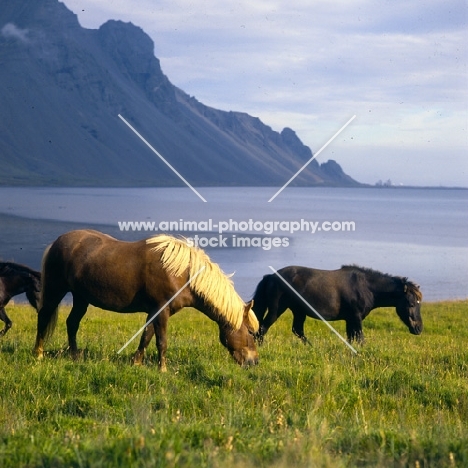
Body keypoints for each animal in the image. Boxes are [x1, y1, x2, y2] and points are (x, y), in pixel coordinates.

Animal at [33, 229, 260, 370]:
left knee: (72, 323)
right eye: (250, 332)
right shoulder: (162, 311)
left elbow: (146, 336)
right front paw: (163, 369)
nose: (254, 362)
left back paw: (74, 356)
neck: (182, 273)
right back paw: (38, 354)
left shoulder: (155, 312)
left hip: (81, 298)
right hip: (55, 291)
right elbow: (161, 341)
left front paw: (136, 363)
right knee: (44, 318)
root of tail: (56, 242)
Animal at [252, 266, 424, 346]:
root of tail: (271, 276)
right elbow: (360, 338)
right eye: (411, 303)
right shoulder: (356, 318)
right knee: (263, 328)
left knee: (297, 330)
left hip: (299, 311)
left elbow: (351, 338)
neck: (366, 287)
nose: (419, 328)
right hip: (277, 309)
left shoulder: (350, 319)